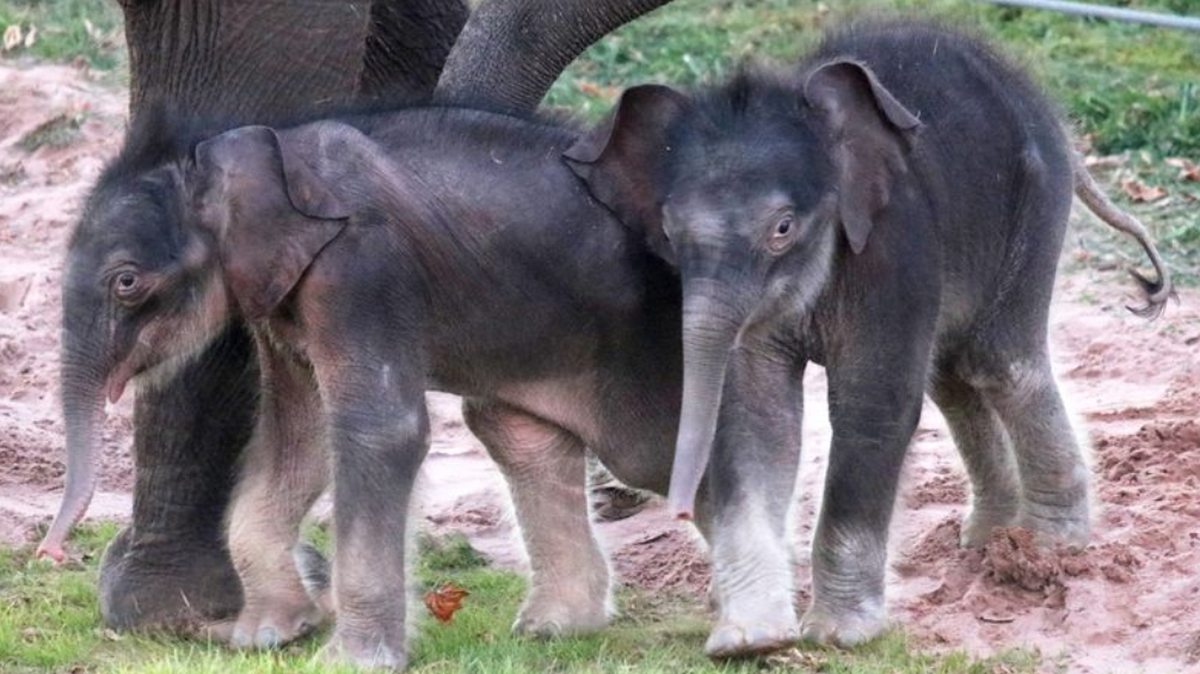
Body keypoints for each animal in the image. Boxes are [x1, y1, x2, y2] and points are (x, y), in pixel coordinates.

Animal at [39, 0, 674, 637]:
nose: (50, 553)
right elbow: (304, 434)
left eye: (126, 283)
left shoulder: (354, 274)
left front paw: (191, 611)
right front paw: (265, 625)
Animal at [564, 21, 1172, 648]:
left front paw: (837, 636)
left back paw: (1050, 547)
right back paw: (988, 539)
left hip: (1033, 202)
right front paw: (751, 638)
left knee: (999, 363)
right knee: (952, 374)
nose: (679, 509)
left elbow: (871, 405)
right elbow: (758, 416)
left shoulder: (892, 244)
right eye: (669, 233)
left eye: (783, 228)